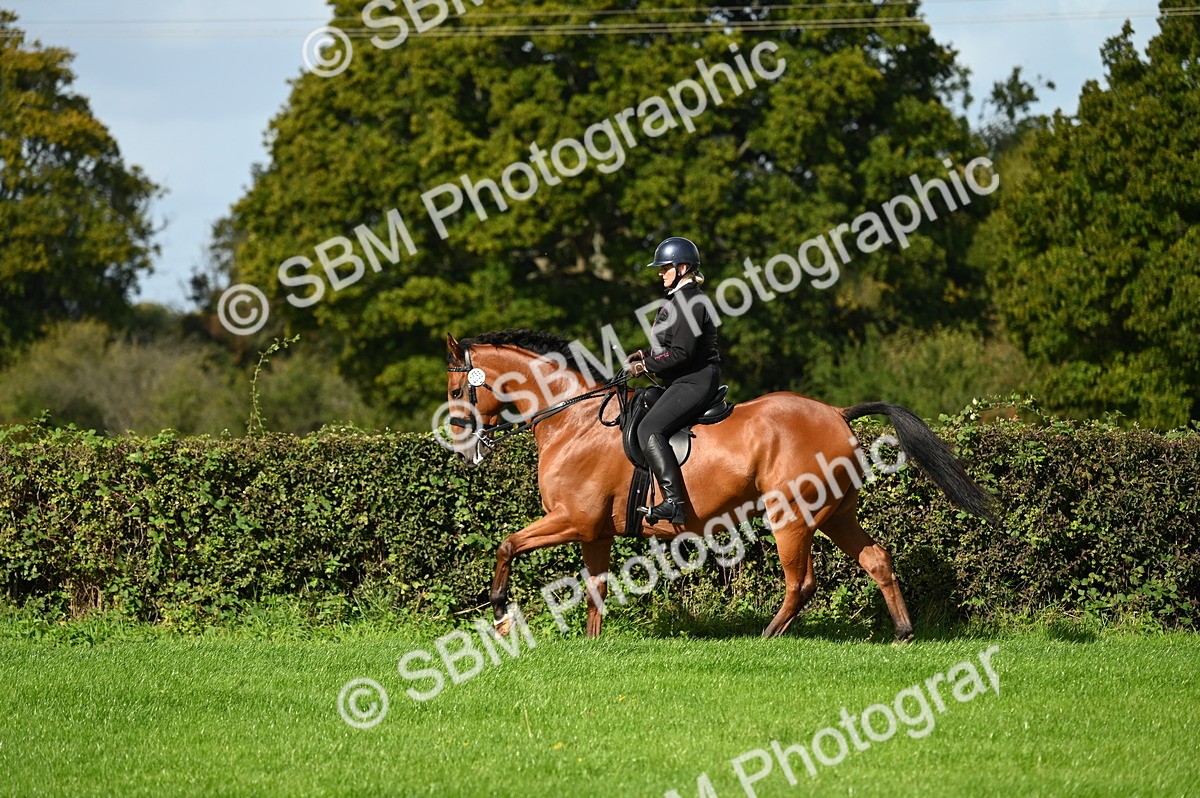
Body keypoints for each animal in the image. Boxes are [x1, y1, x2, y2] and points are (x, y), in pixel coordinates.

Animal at [443, 329, 997, 642]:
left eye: (454, 389)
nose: (461, 446)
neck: (573, 420)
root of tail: (837, 413)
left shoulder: (571, 520)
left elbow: (506, 544)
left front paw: (501, 612)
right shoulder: (593, 531)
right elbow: (596, 588)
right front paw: (592, 644)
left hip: (791, 516)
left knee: (802, 582)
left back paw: (768, 636)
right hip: (837, 514)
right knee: (876, 558)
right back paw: (903, 632)